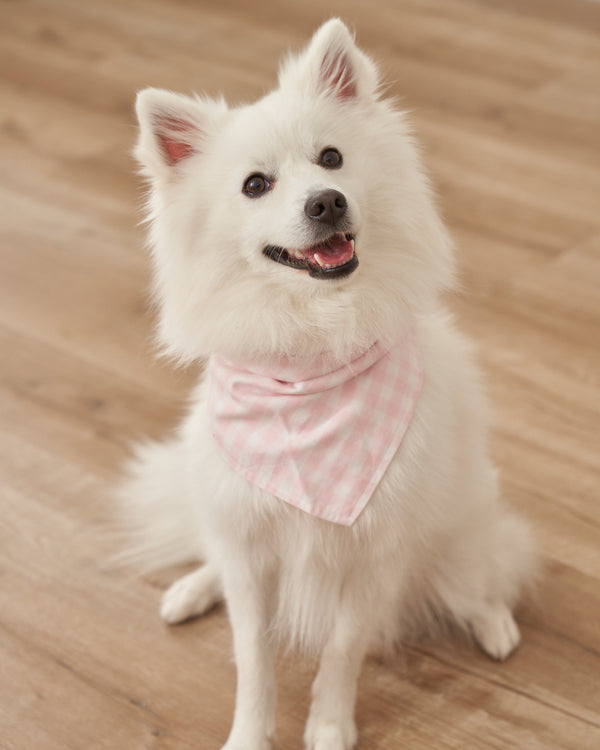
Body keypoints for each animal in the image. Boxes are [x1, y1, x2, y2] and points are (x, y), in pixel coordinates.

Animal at [119, 19, 536, 750]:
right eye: (256, 185)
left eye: (332, 158)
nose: (326, 201)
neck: (310, 359)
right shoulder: (251, 547)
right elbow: (253, 657)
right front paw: (250, 735)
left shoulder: (373, 556)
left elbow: (342, 651)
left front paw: (330, 727)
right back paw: (192, 589)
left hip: (459, 535)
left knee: (482, 573)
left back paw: (493, 623)